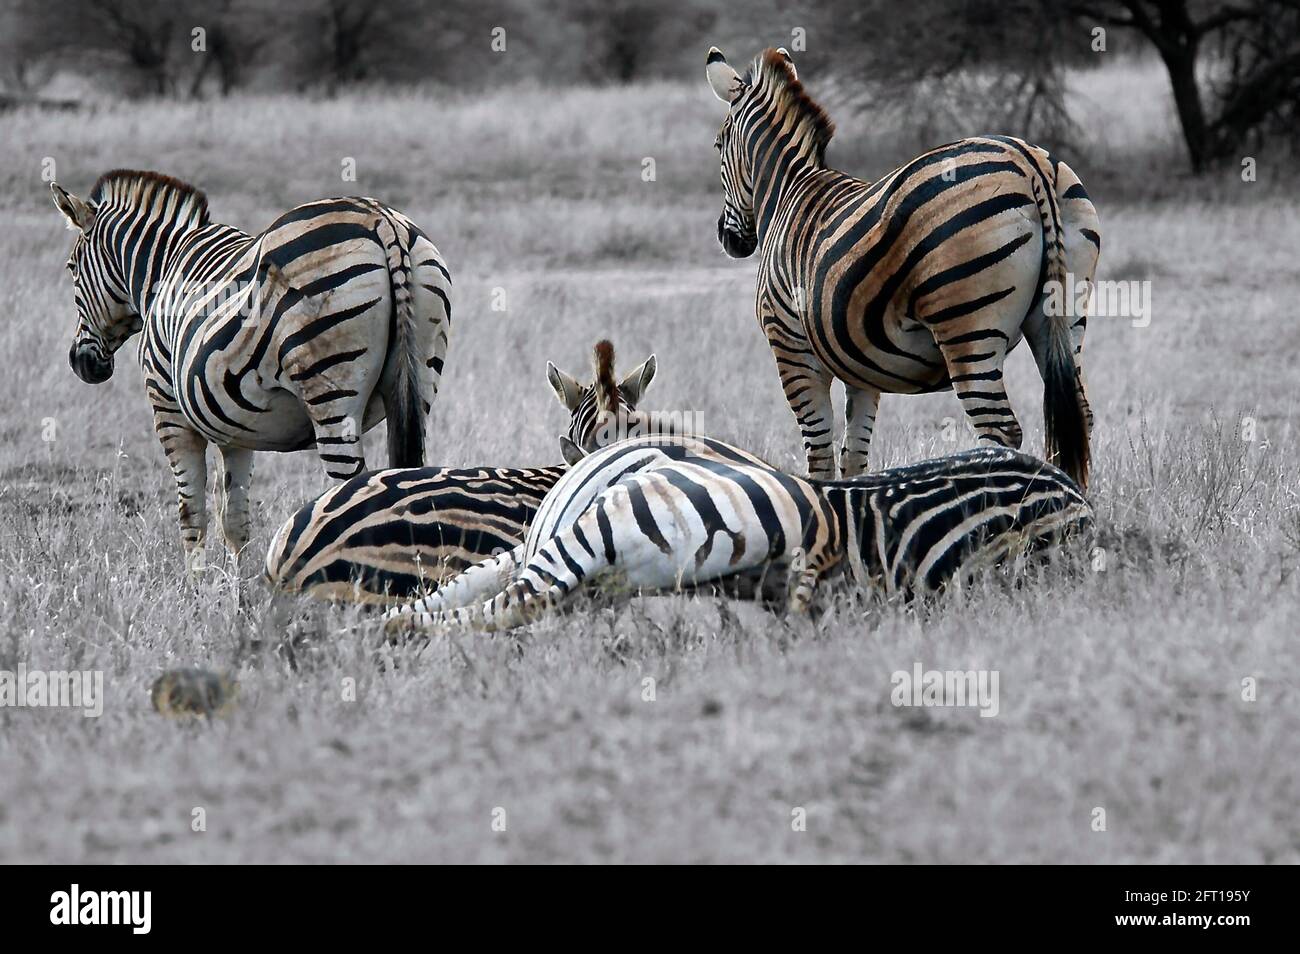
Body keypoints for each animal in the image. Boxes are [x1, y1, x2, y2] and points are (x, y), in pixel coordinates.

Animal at [50, 170, 452, 570]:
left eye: (71, 268)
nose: (80, 363)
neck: (164, 270)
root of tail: (380, 220)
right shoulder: (235, 428)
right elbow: (235, 521)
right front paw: (237, 587)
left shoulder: (168, 409)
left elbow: (192, 516)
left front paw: (195, 586)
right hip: (419, 378)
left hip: (331, 393)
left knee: (352, 493)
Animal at [704, 47, 1101, 489]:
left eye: (718, 145)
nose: (727, 238)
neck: (788, 192)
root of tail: (1027, 161)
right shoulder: (857, 366)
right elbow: (854, 456)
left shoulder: (791, 348)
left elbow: (819, 454)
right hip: (1064, 316)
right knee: (1076, 419)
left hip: (967, 326)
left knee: (1000, 430)